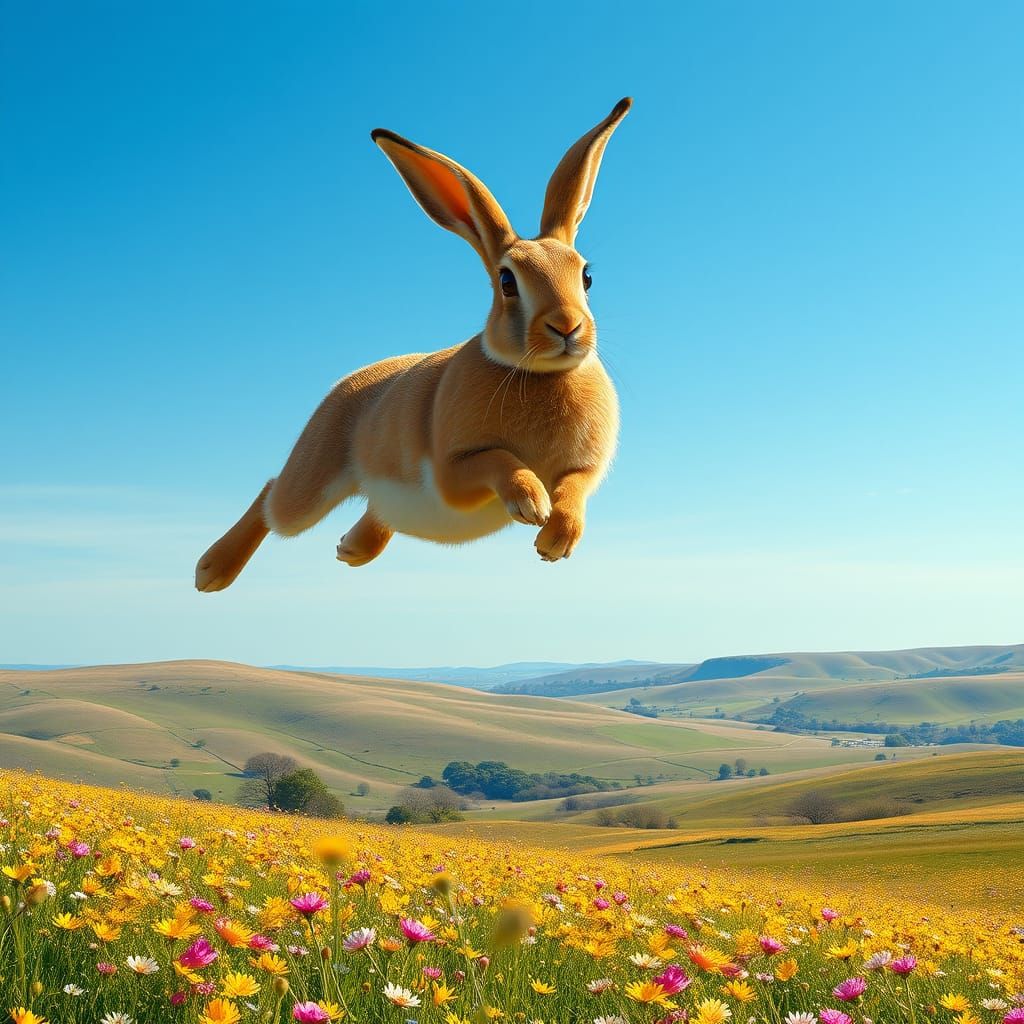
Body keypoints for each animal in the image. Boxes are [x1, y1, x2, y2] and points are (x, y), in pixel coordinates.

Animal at [195, 97, 631, 592]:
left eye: (586, 275)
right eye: (507, 282)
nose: (567, 326)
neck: (538, 374)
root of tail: (349, 380)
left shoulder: (585, 469)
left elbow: (575, 490)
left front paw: (554, 540)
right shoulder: (453, 471)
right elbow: (498, 460)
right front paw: (531, 504)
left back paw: (351, 548)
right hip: (311, 480)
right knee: (274, 497)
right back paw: (211, 571)